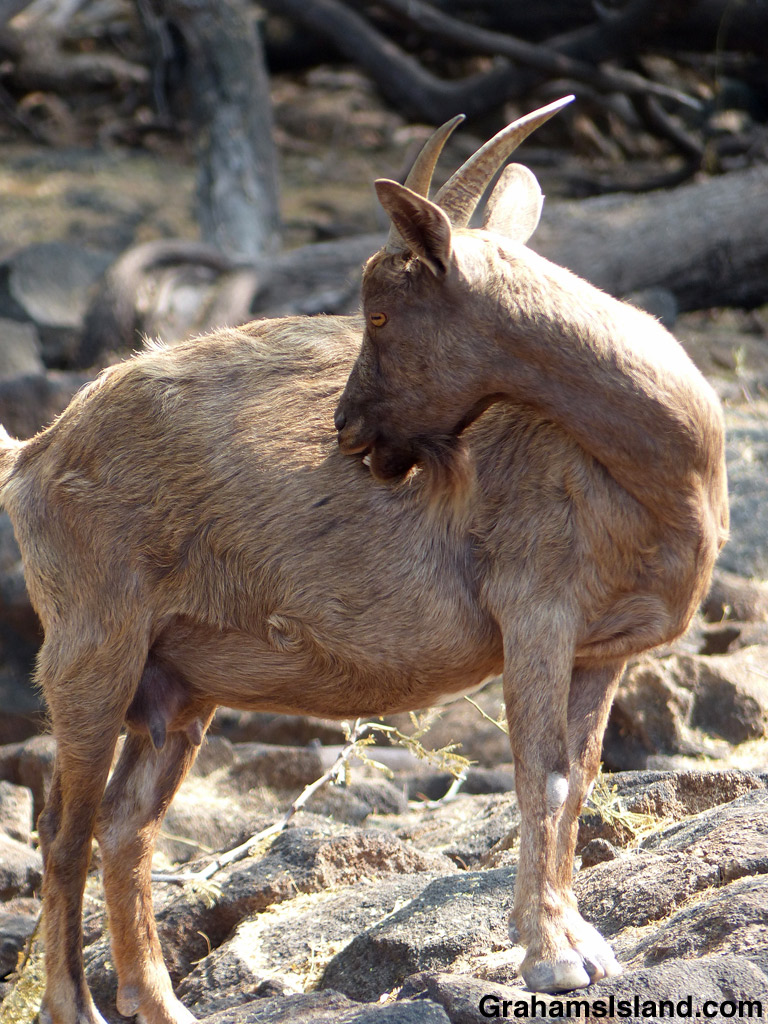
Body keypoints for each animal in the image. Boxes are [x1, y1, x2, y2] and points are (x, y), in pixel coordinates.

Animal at [0, 98, 727, 1024]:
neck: (659, 465)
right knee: (66, 827)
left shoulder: (604, 649)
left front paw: (579, 939)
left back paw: (162, 1003)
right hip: (92, 646)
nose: (347, 431)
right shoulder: (536, 611)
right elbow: (546, 775)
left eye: (379, 315)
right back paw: (75, 1004)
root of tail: (32, 456)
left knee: (128, 825)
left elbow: (582, 774)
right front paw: (554, 957)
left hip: (178, 685)